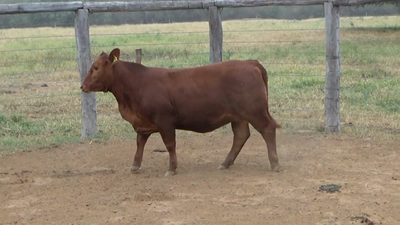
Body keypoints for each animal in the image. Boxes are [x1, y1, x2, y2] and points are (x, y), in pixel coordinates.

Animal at [80, 48, 282, 177]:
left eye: (95, 68)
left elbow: (170, 144)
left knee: (267, 129)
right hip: (239, 116)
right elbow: (139, 144)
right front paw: (135, 166)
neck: (137, 84)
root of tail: (250, 62)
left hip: (255, 111)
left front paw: (172, 168)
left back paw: (275, 163)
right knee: (241, 136)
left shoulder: (164, 121)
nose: (82, 86)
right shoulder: (143, 124)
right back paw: (225, 163)